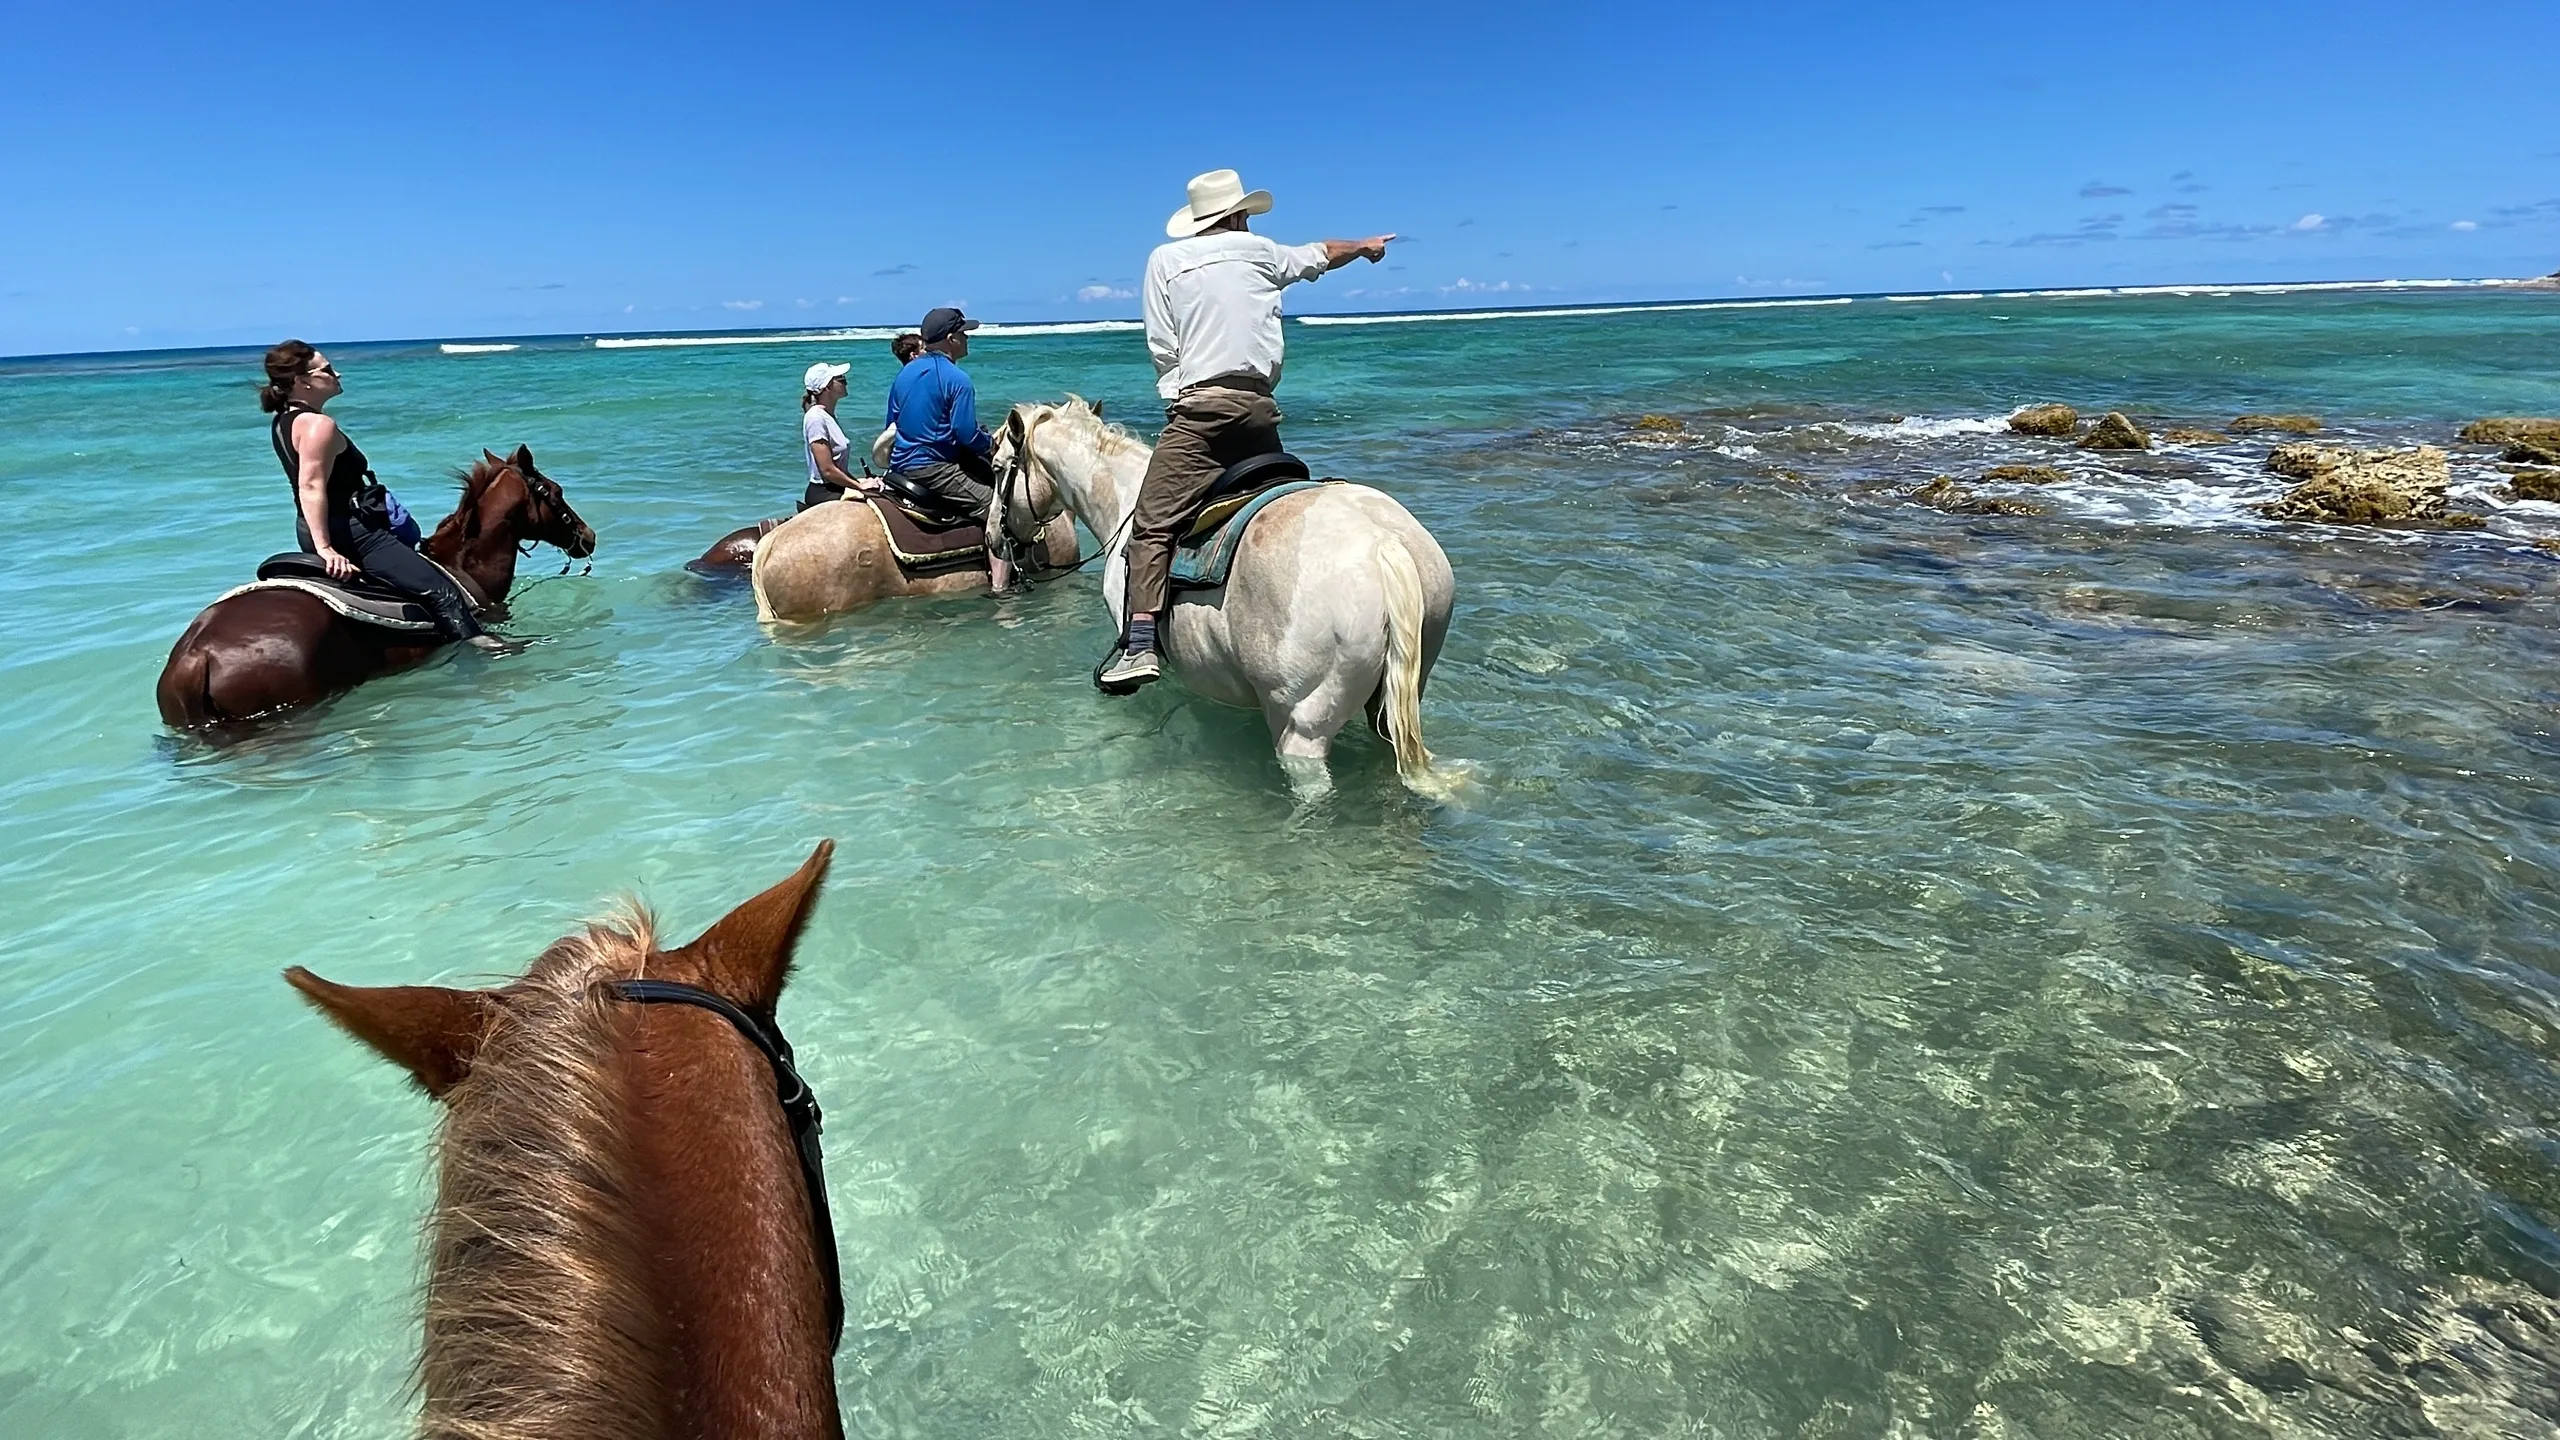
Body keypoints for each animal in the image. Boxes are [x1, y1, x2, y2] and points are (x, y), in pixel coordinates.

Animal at [996, 397, 1456, 797]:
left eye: (998, 468)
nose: (998, 541)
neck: (1123, 503)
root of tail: (1382, 544)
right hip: (1394, 696)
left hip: (1302, 726)